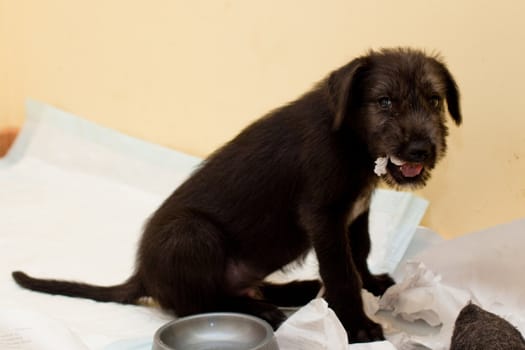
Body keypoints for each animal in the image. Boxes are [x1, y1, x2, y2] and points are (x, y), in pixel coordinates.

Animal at [12, 47, 460, 344]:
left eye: (434, 99)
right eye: (384, 101)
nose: (421, 150)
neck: (350, 136)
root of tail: (142, 274)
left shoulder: (354, 213)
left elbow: (360, 252)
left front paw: (374, 285)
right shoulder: (324, 217)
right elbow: (342, 272)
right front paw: (358, 326)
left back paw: (293, 291)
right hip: (191, 234)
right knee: (197, 302)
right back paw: (263, 309)